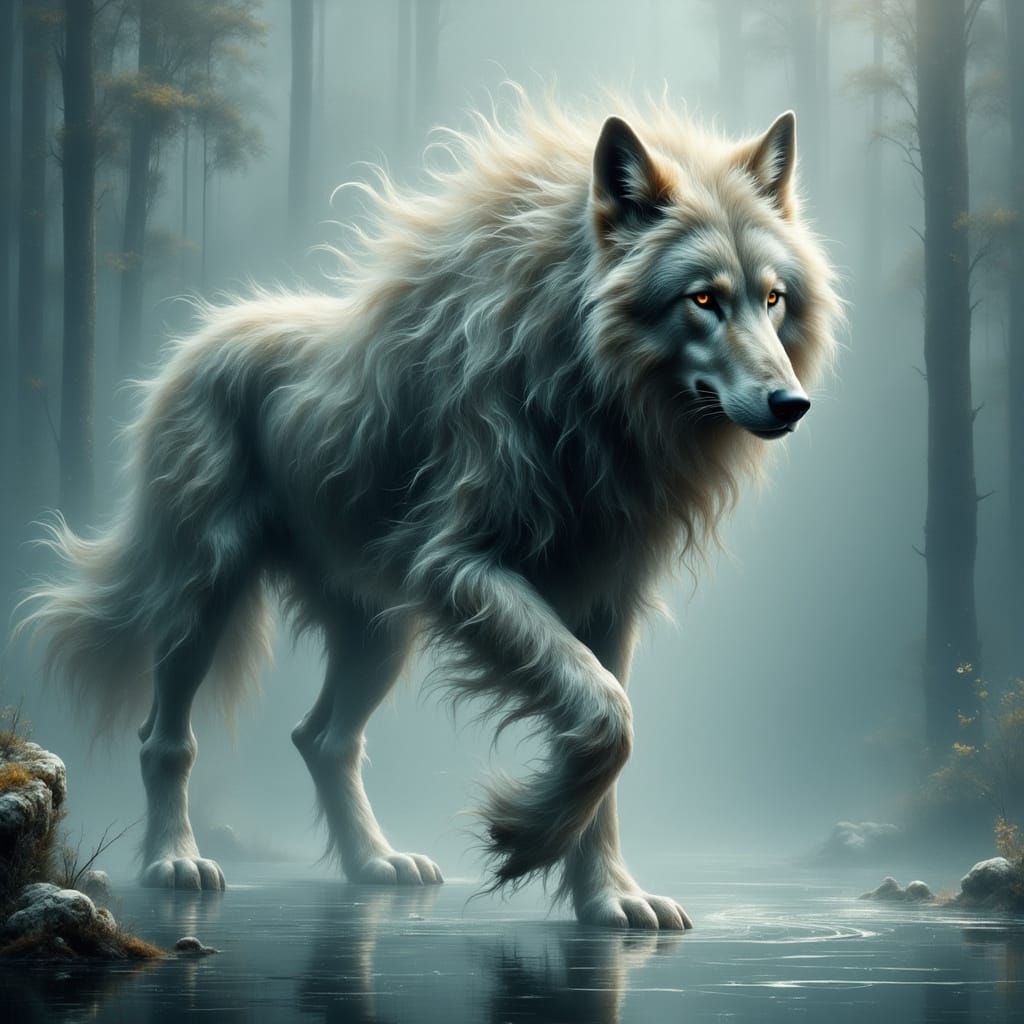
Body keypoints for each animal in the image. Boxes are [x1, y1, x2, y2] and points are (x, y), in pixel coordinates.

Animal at [21, 95, 838, 929]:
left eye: (773, 298)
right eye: (703, 299)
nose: (792, 404)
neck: (589, 395)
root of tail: (193, 343)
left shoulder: (608, 603)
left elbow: (608, 734)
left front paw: (607, 897)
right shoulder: (463, 565)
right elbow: (608, 719)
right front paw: (523, 838)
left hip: (382, 630)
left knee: (322, 739)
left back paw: (375, 863)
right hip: (204, 597)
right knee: (165, 738)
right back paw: (174, 862)